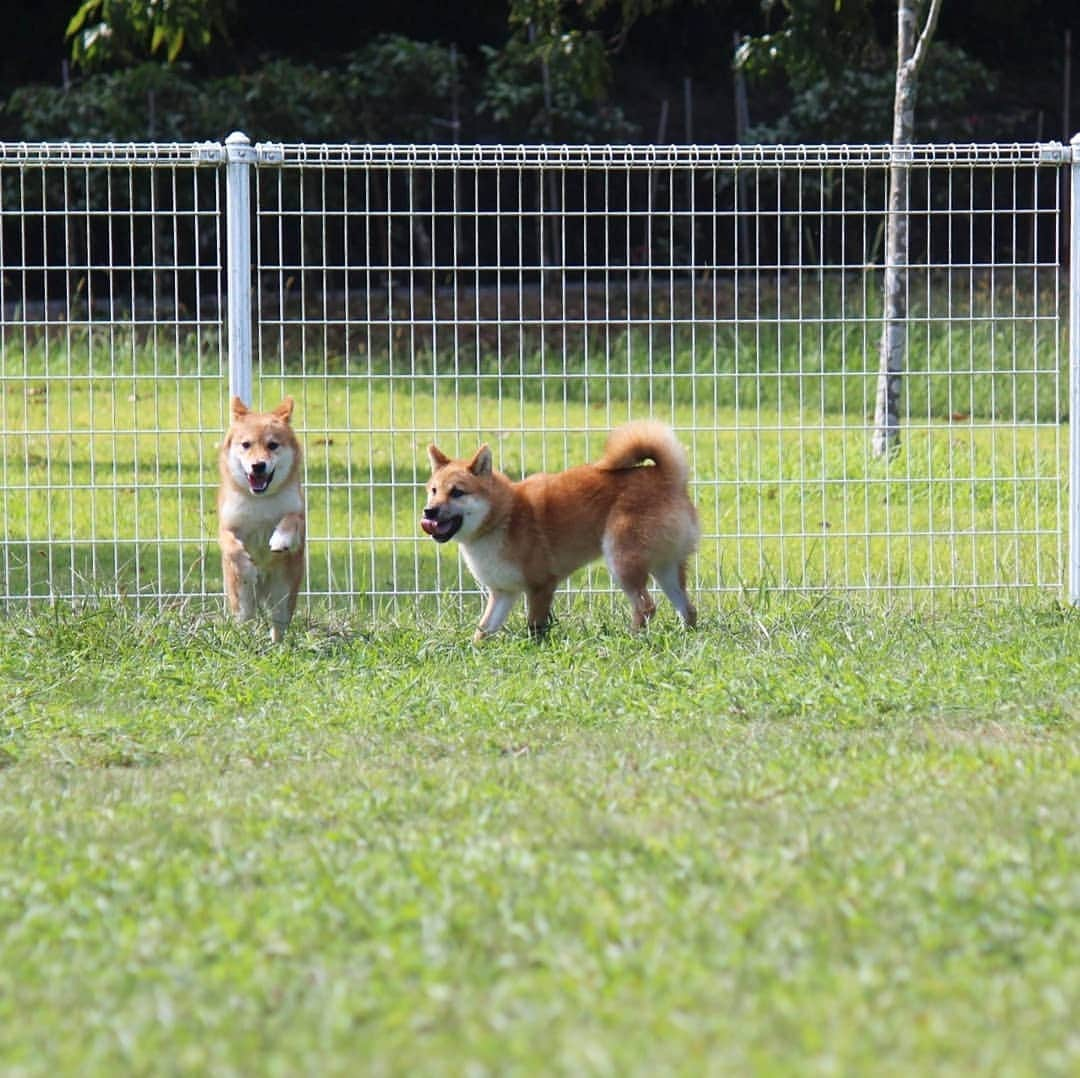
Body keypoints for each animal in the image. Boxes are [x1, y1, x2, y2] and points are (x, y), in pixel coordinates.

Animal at [217, 401, 306, 643]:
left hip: (283, 593)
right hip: (242, 600)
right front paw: (248, 569)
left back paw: (277, 646)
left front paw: (280, 540)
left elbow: (290, 520)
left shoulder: (299, 516)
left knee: (278, 625)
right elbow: (232, 547)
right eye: (246, 444)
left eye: (272, 445)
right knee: (245, 621)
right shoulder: (227, 527)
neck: (260, 500)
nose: (258, 465)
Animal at [416, 419, 695, 639]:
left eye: (457, 492)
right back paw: (687, 637)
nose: (428, 512)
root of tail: (668, 478)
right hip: (664, 570)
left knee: (646, 607)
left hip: (622, 563)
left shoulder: (541, 585)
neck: (502, 518)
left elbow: (534, 628)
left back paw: (632, 639)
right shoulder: (503, 593)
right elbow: (483, 631)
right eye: (433, 491)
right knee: (688, 609)